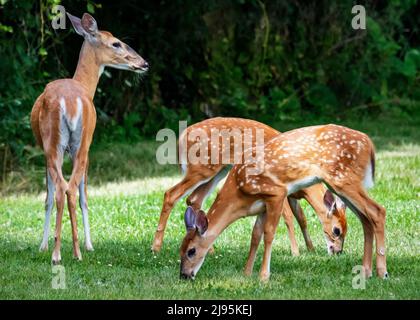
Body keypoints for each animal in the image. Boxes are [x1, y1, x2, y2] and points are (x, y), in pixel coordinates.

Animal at [30, 12, 148, 264]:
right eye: (116, 43)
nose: (144, 63)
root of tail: (69, 102)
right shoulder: (87, 148)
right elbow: (80, 197)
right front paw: (88, 245)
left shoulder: (47, 151)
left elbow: (48, 197)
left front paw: (43, 246)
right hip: (79, 144)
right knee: (71, 188)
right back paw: (72, 252)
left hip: (56, 145)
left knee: (63, 188)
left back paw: (60, 253)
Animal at [152, 117, 348, 255]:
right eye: (337, 230)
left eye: (347, 230)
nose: (338, 252)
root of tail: (181, 138)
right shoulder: (280, 189)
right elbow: (288, 218)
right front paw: (296, 252)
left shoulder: (293, 195)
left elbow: (302, 218)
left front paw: (311, 249)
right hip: (201, 169)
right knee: (170, 194)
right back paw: (156, 248)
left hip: (217, 171)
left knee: (194, 199)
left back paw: (209, 249)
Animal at [179, 124, 386, 282]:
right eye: (180, 249)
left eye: (191, 251)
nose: (184, 275)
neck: (239, 193)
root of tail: (369, 143)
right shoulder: (262, 206)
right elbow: (255, 235)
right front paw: (247, 273)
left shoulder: (277, 193)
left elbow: (269, 233)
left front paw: (263, 276)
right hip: (340, 184)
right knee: (365, 218)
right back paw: (367, 272)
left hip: (343, 180)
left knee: (377, 210)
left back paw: (382, 272)